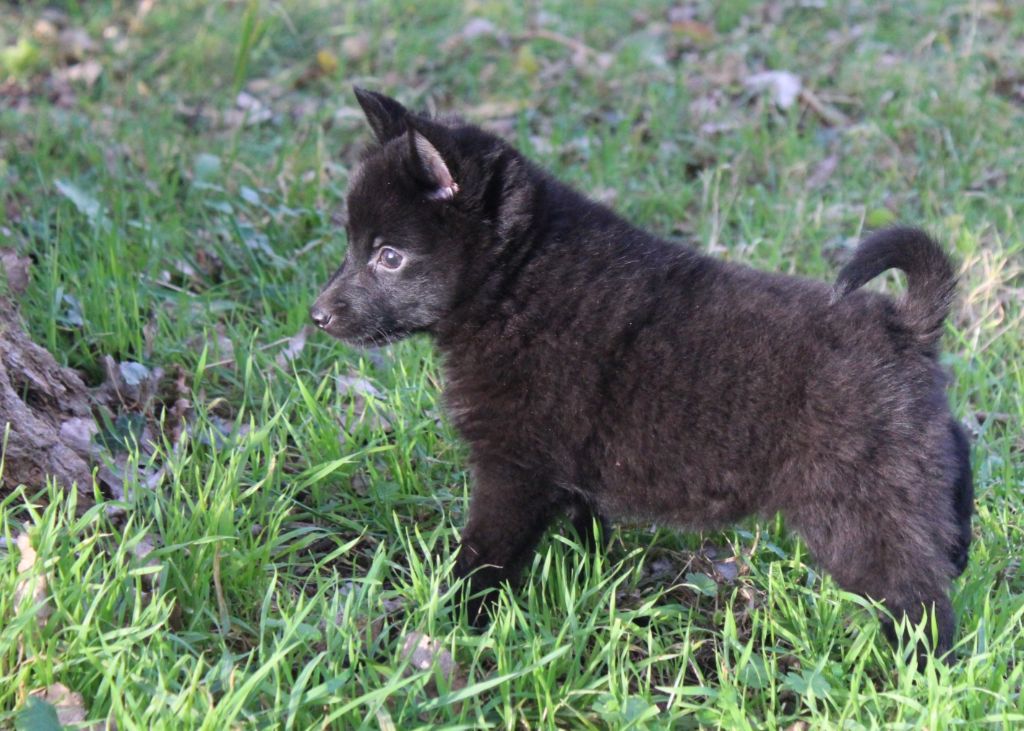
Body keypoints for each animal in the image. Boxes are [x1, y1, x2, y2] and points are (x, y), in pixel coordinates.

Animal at [313, 88, 974, 659]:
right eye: (351, 245)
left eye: (389, 257)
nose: (317, 316)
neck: (517, 284)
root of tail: (904, 324)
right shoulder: (567, 471)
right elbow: (586, 530)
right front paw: (591, 582)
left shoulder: (514, 468)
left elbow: (484, 555)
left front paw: (451, 620)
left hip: (861, 510)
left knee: (919, 601)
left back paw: (918, 672)